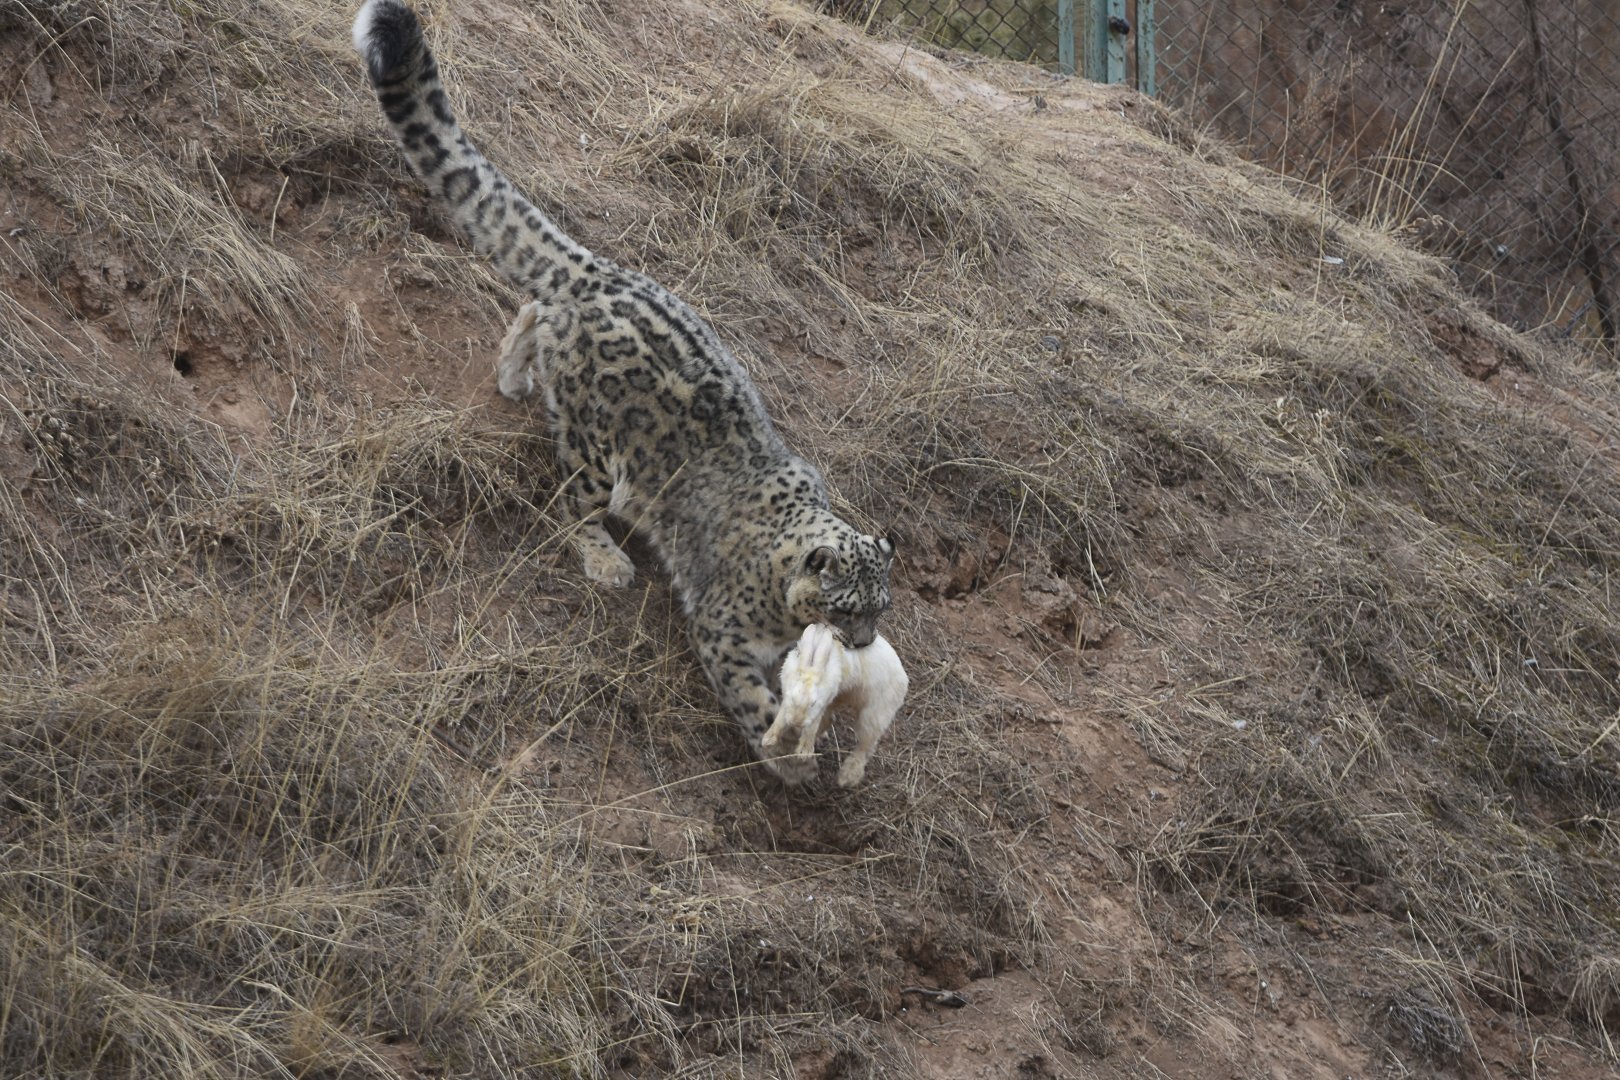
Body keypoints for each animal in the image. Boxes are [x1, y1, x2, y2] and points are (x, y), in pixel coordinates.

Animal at [352, 0, 895, 783]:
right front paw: (786, 758)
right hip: (594, 452)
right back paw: (605, 556)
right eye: (847, 608)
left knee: (532, 306)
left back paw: (514, 373)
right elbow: (751, 696)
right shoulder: (724, 632)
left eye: (882, 605)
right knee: (567, 503)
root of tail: (598, 274)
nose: (863, 643)